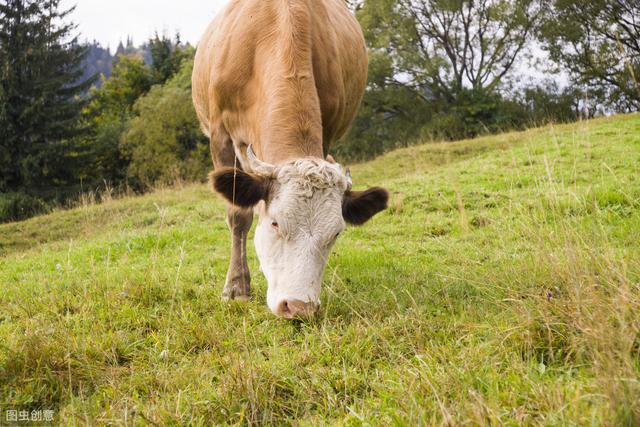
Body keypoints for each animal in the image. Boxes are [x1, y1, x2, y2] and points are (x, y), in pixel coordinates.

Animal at [192, 0, 388, 318]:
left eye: (336, 233)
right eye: (275, 224)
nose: (299, 307)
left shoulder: (327, 131)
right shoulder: (220, 133)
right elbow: (238, 215)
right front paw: (236, 287)